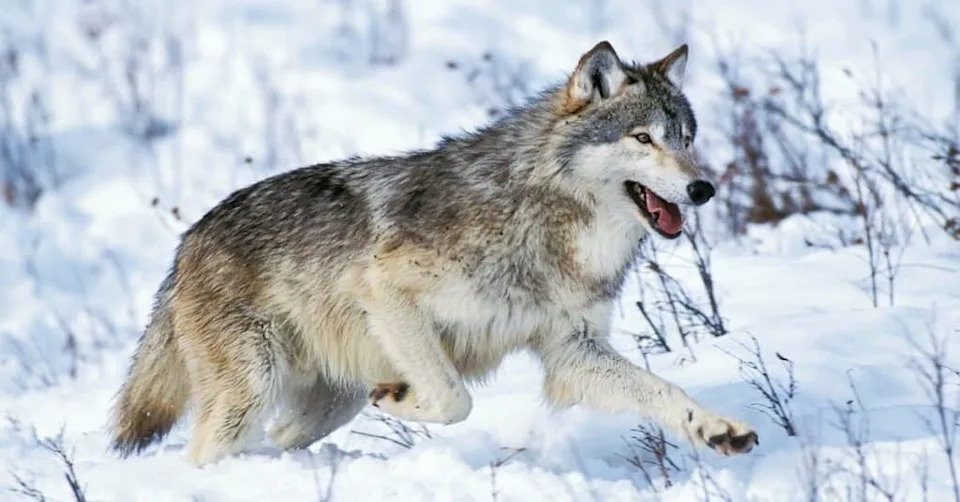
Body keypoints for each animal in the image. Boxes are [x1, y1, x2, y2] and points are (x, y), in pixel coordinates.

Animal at [110, 41, 758, 465]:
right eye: (642, 139)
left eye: (686, 139)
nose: (704, 188)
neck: (544, 218)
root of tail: (187, 241)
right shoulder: (385, 290)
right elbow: (454, 400)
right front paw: (402, 399)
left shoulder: (573, 350)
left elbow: (663, 391)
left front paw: (716, 428)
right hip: (252, 392)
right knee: (204, 452)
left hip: (324, 405)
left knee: (277, 440)